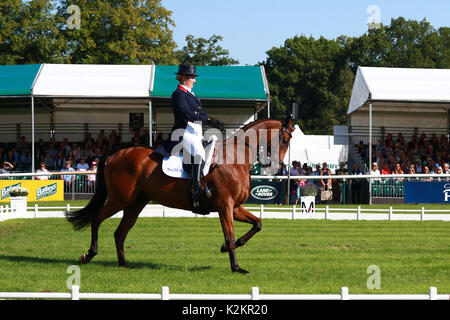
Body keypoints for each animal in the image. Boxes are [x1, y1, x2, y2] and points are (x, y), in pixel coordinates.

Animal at [65, 117, 294, 272]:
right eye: (284, 140)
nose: (279, 166)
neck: (234, 157)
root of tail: (116, 153)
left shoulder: (235, 207)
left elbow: (258, 224)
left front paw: (224, 249)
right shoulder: (225, 206)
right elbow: (229, 235)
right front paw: (236, 267)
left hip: (136, 203)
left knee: (120, 232)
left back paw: (123, 264)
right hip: (120, 199)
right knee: (97, 218)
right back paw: (89, 254)